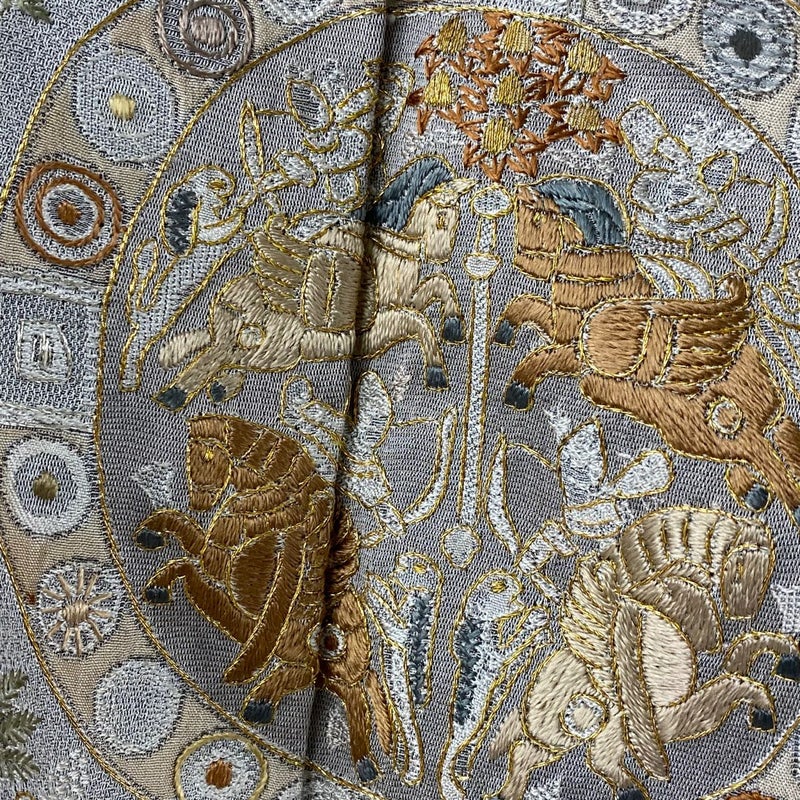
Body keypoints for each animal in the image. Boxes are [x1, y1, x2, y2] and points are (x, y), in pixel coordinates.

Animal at [154, 157, 473, 411]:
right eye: (443, 218)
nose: (442, 253)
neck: (386, 262)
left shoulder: (405, 302)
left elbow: (438, 285)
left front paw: (454, 326)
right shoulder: (379, 327)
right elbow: (420, 321)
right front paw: (437, 372)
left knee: (216, 353)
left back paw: (213, 386)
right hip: (265, 348)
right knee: (216, 357)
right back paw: (174, 395)